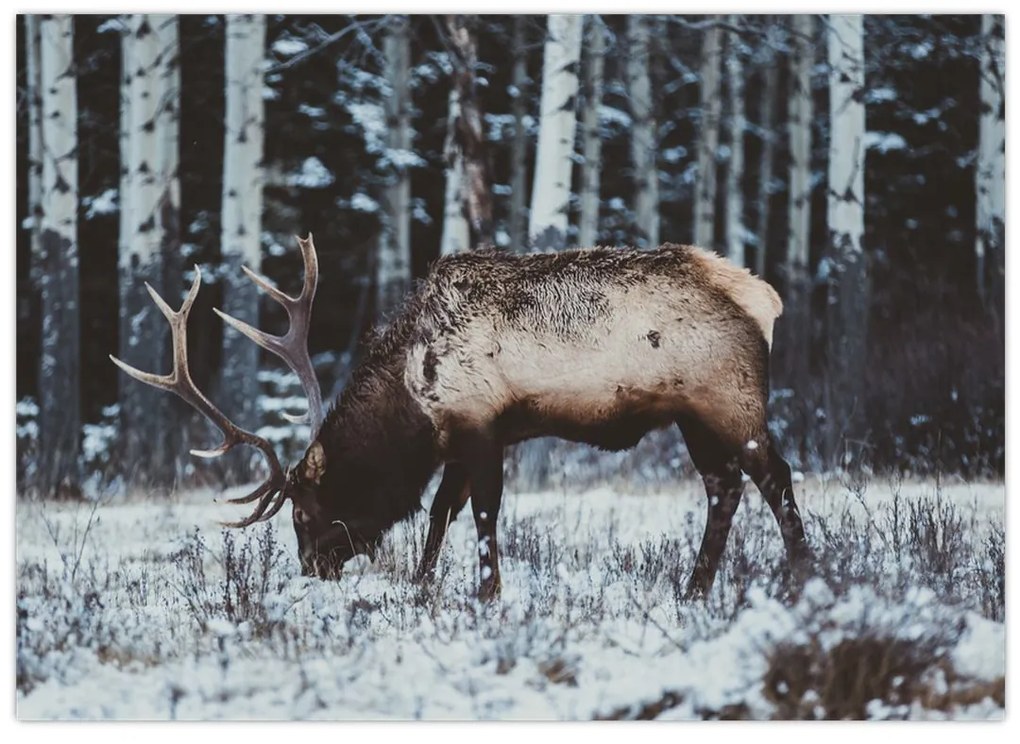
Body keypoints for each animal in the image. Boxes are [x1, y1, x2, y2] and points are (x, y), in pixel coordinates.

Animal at [111, 234, 811, 600]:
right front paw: (423, 588)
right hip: (693, 417)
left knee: (774, 476)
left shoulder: (481, 426)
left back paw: (802, 574)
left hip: (730, 399)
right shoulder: (459, 439)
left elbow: (480, 512)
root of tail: (767, 299)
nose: (312, 569)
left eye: (306, 511)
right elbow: (441, 511)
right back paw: (694, 588)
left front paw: (486, 591)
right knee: (724, 488)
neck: (410, 399)